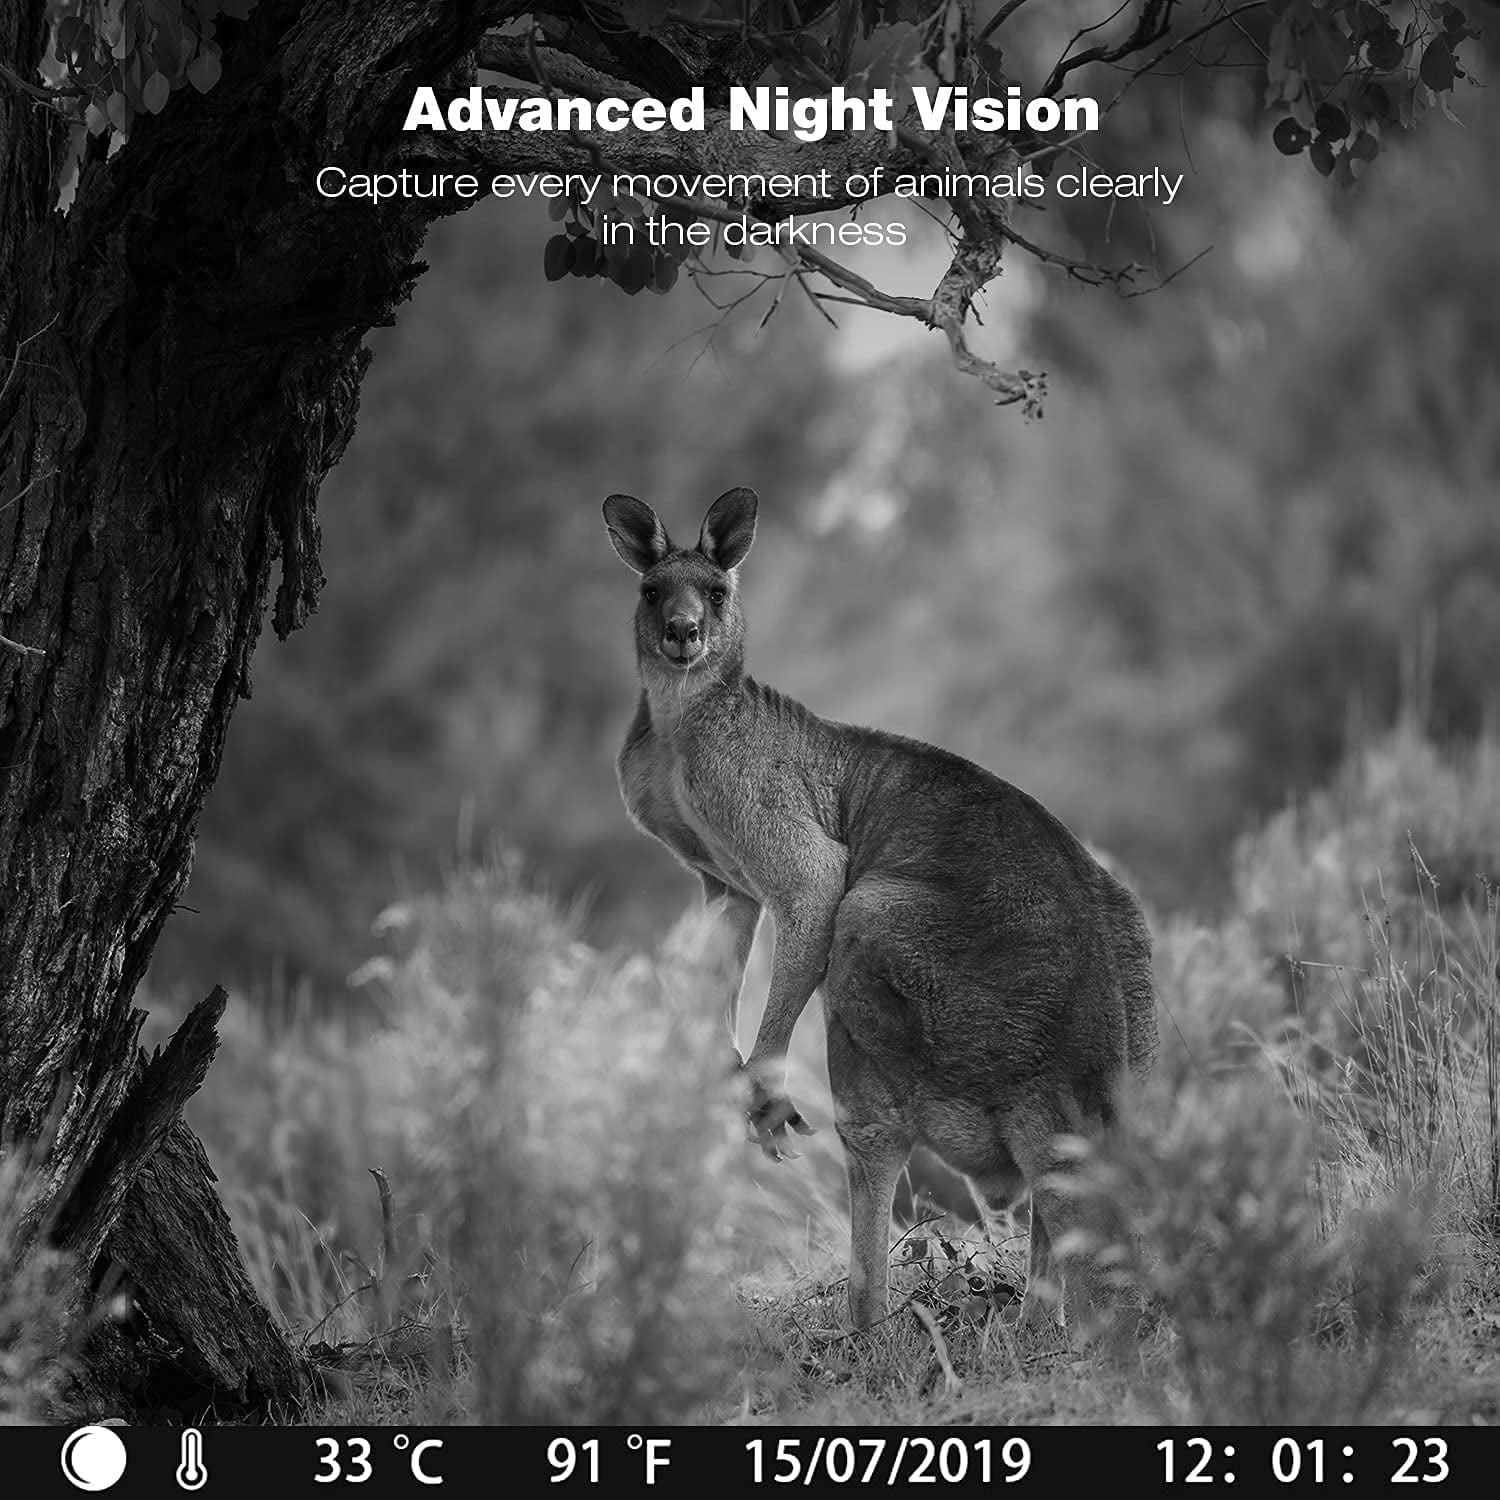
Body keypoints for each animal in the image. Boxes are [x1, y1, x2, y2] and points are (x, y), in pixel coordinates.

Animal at [603, 487, 1157, 1332]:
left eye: (719, 591)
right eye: (651, 591)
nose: (683, 633)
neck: (681, 721)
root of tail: (1067, 1088)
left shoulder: (786, 840)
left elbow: (809, 891)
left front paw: (761, 1090)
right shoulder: (724, 881)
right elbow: (719, 964)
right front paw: (714, 1062)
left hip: (877, 931)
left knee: (873, 1137)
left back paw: (865, 1323)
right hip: (1131, 976)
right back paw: (1031, 1322)